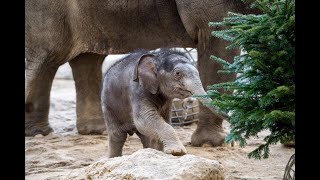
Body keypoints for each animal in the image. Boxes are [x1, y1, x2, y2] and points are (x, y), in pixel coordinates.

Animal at [25, 0, 256, 146]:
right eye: (177, 74)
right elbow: (219, 38)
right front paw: (212, 144)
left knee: (86, 58)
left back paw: (92, 131)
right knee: (47, 56)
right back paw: (38, 133)